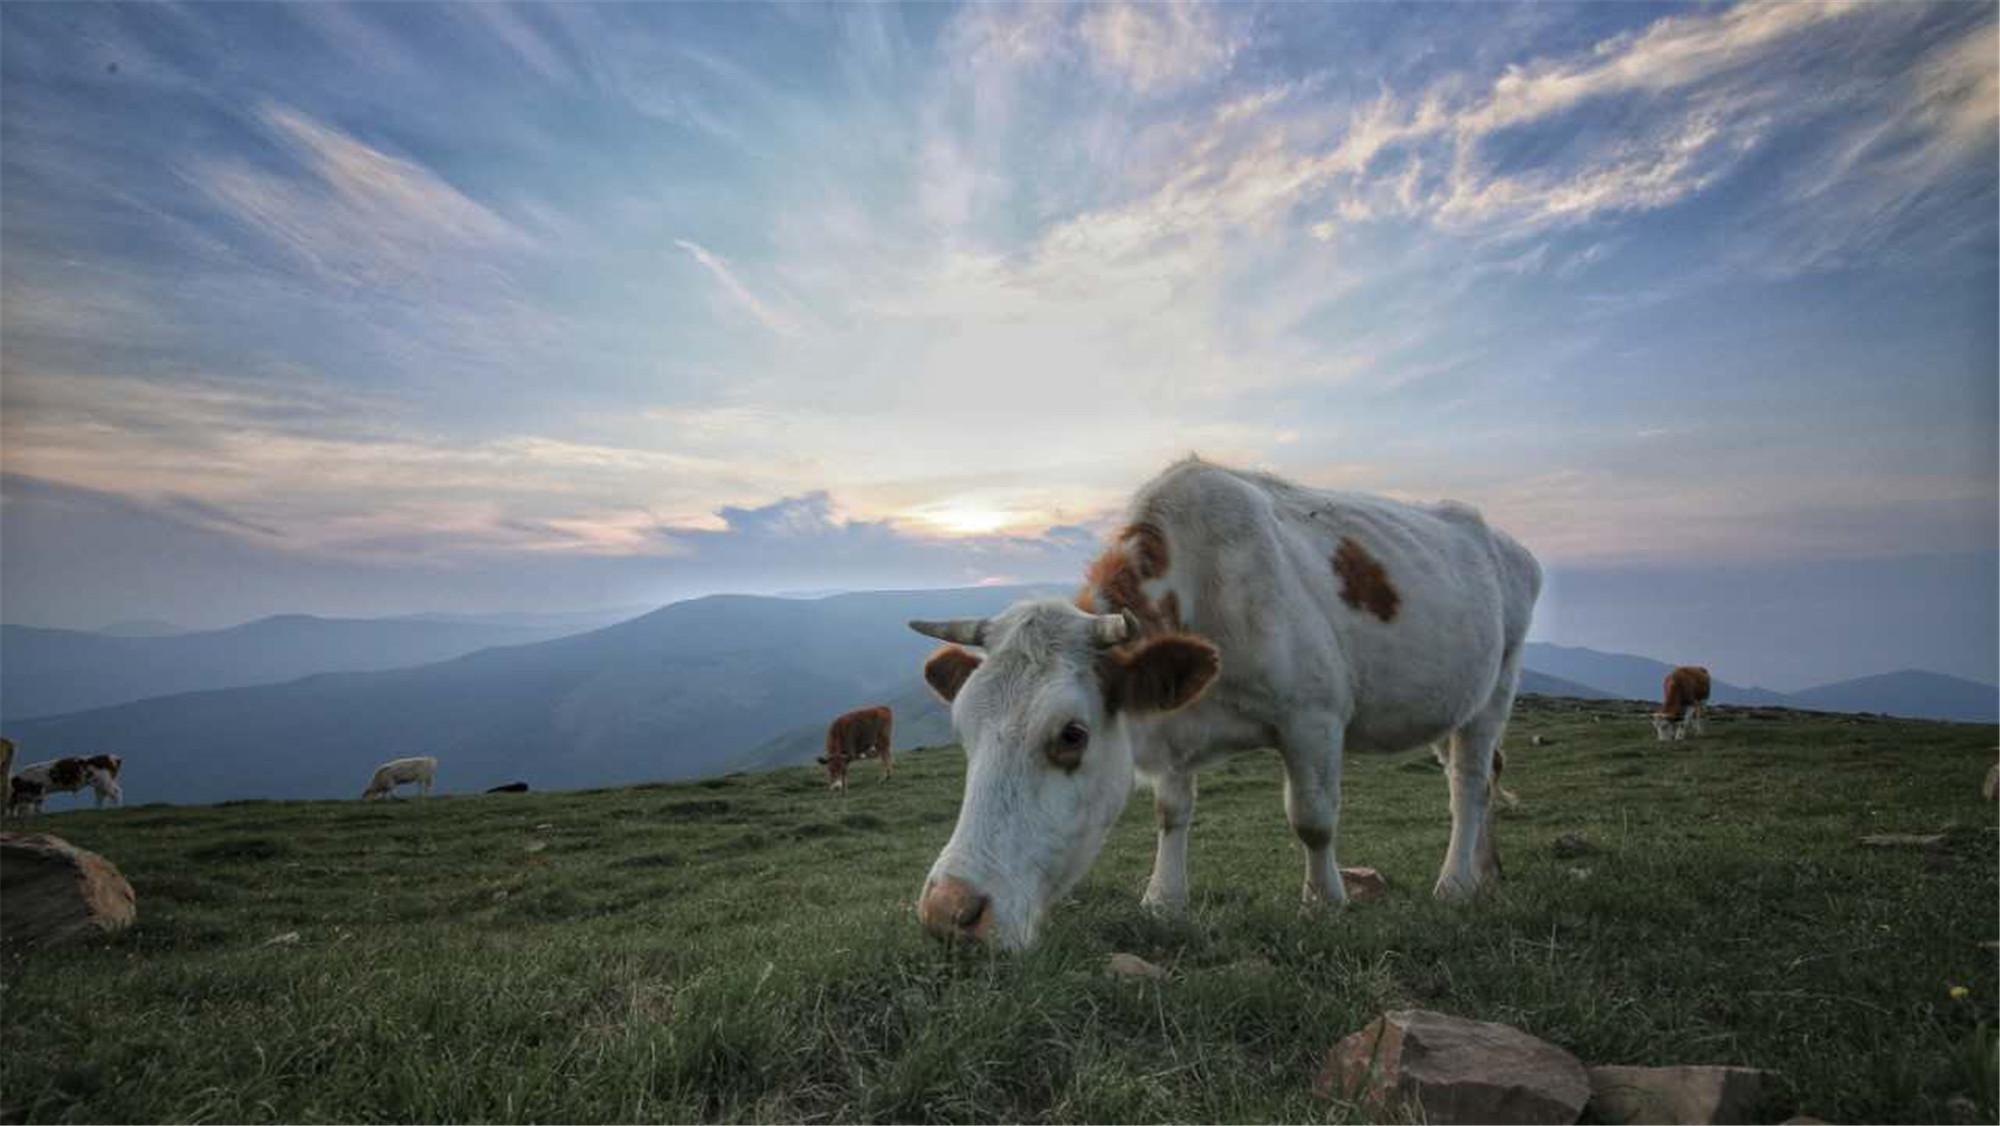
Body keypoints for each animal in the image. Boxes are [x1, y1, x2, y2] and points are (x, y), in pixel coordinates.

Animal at [912, 460, 1544, 952]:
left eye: (1071, 734)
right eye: (964, 731)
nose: (949, 912)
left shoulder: (1313, 716)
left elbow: (1312, 818)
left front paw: (1324, 901)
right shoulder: (1171, 731)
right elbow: (1172, 813)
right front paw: (1163, 899)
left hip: (1498, 683)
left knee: (1469, 782)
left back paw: (1455, 885)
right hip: (1450, 701)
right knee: (1481, 773)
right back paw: (1486, 873)